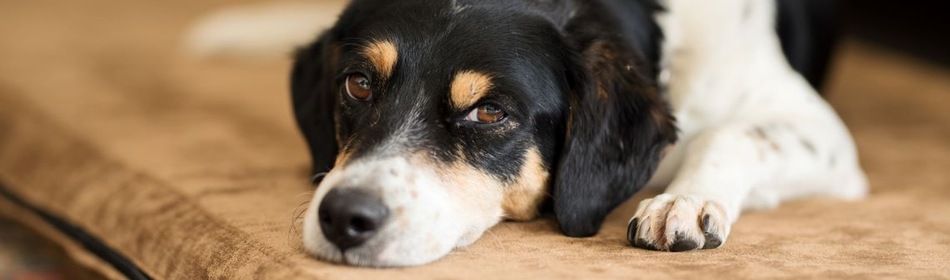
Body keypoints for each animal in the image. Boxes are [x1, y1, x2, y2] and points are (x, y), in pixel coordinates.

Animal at [260, 0, 872, 268]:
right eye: (359, 84)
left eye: (489, 113)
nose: (343, 217)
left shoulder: (824, 134)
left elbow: (728, 135)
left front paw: (685, 201)